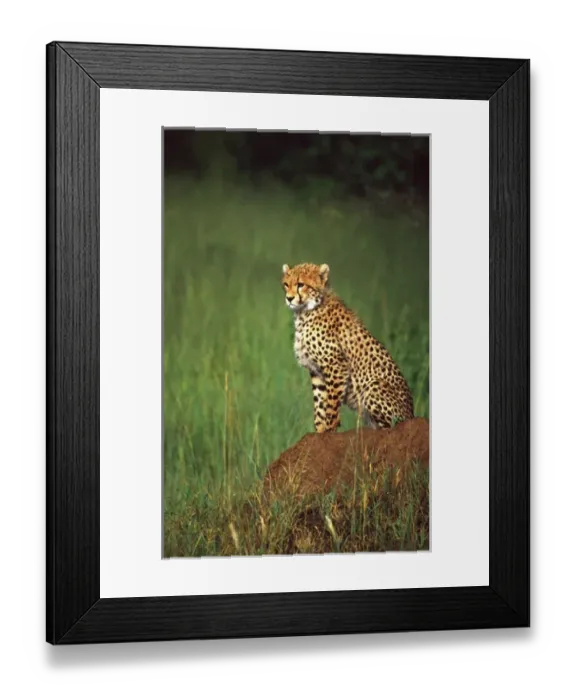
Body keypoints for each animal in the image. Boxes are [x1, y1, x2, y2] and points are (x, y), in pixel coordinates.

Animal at [281, 262, 414, 433]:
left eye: (300, 284)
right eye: (286, 284)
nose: (289, 298)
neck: (306, 311)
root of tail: (412, 415)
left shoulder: (337, 366)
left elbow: (331, 405)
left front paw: (330, 431)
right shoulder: (316, 371)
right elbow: (320, 406)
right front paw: (320, 431)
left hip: (373, 387)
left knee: (389, 427)